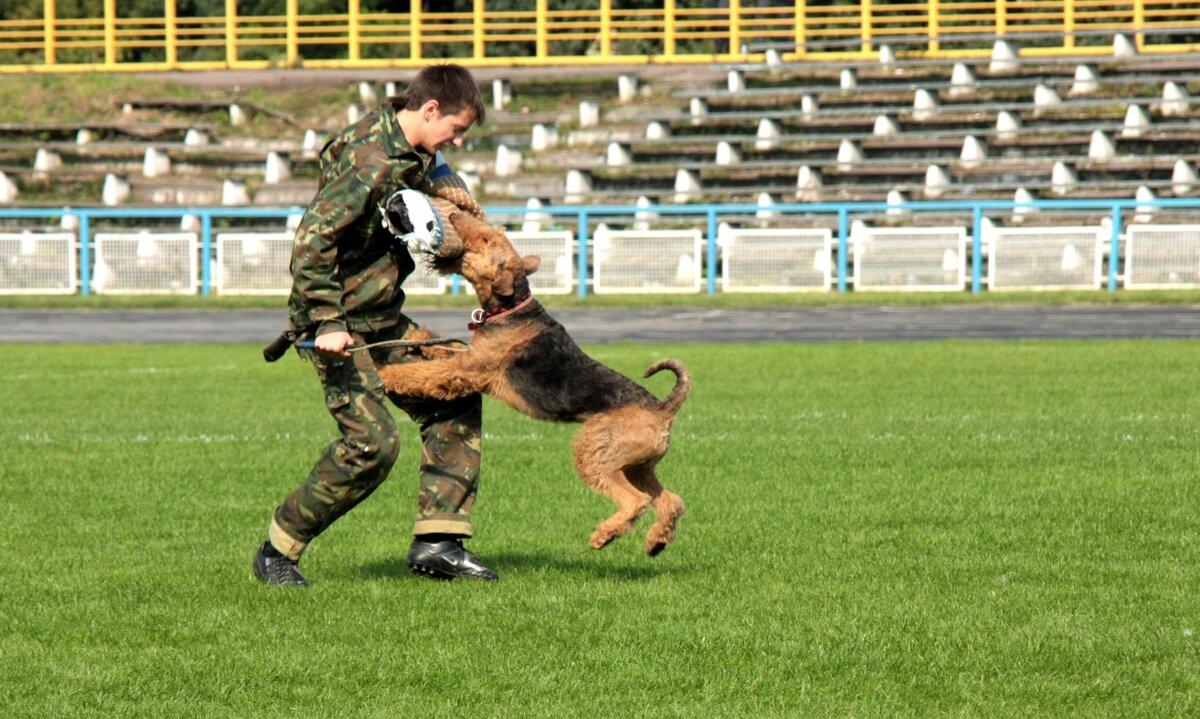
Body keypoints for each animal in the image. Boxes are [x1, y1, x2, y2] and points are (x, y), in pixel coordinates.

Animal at [379, 211, 691, 559]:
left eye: (486, 240)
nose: (456, 215)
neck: (510, 308)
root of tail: (664, 410)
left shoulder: (469, 370)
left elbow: (425, 372)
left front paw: (385, 374)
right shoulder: (470, 356)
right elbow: (445, 348)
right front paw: (419, 337)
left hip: (596, 454)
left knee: (637, 501)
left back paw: (603, 536)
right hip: (639, 466)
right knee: (671, 501)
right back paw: (656, 542)